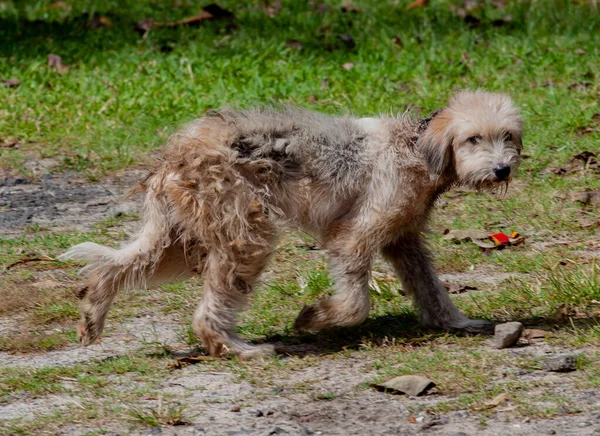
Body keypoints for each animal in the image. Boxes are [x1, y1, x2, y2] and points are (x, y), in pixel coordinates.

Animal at [58, 89, 524, 358]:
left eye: (508, 137)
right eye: (472, 139)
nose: (502, 169)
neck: (415, 146)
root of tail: (175, 155)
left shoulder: (404, 239)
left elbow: (430, 288)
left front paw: (455, 323)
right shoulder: (353, 237)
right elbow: (355, 303)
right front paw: (316, 317)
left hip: (177, 240)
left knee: (113, 266)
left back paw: (93, 312)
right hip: (244, 236)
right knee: (208, 313)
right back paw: (236, 348)